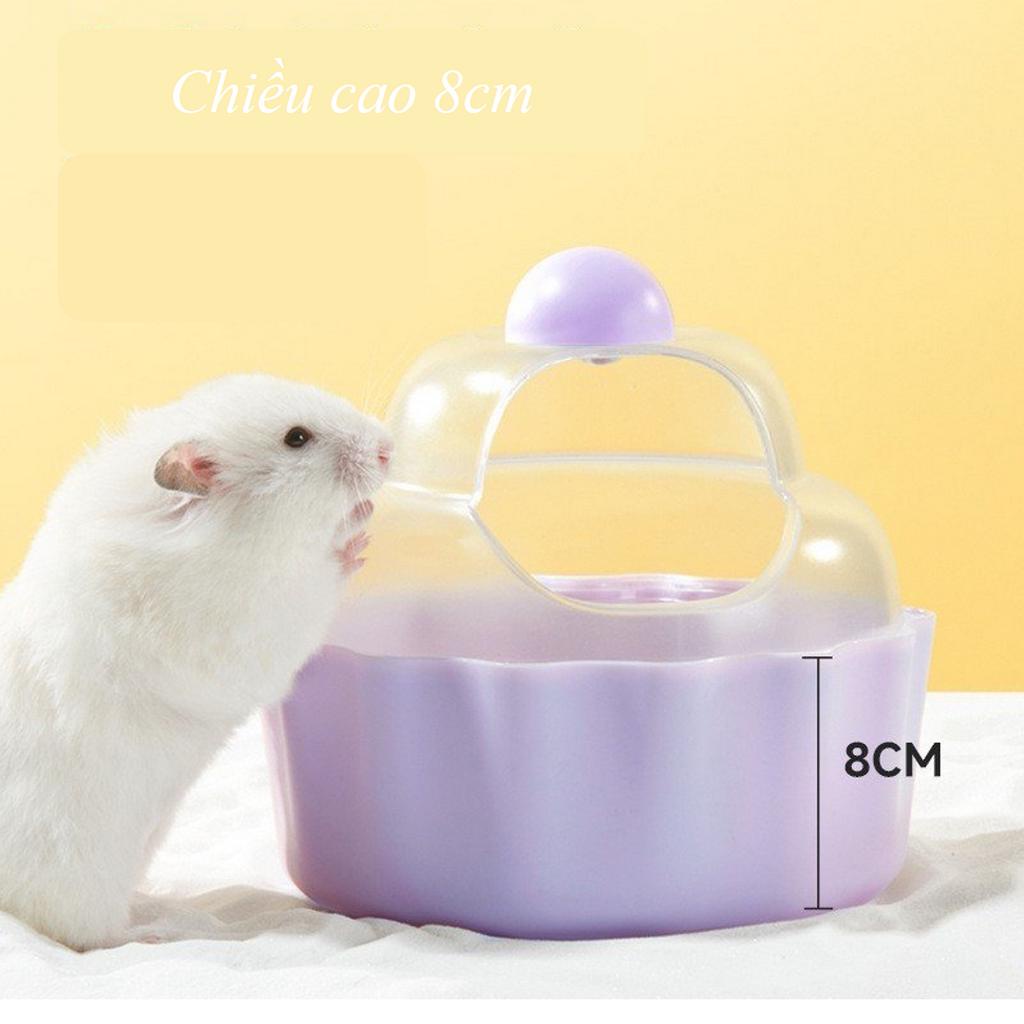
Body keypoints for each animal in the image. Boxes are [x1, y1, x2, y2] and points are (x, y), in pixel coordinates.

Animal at [0, 374, 392, 950]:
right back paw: (153, 932)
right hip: (78, 875)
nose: (390, 450)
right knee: (80, 935)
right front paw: (358, 532)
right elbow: (319, 579)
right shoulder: (255, 618)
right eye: (296, 439)